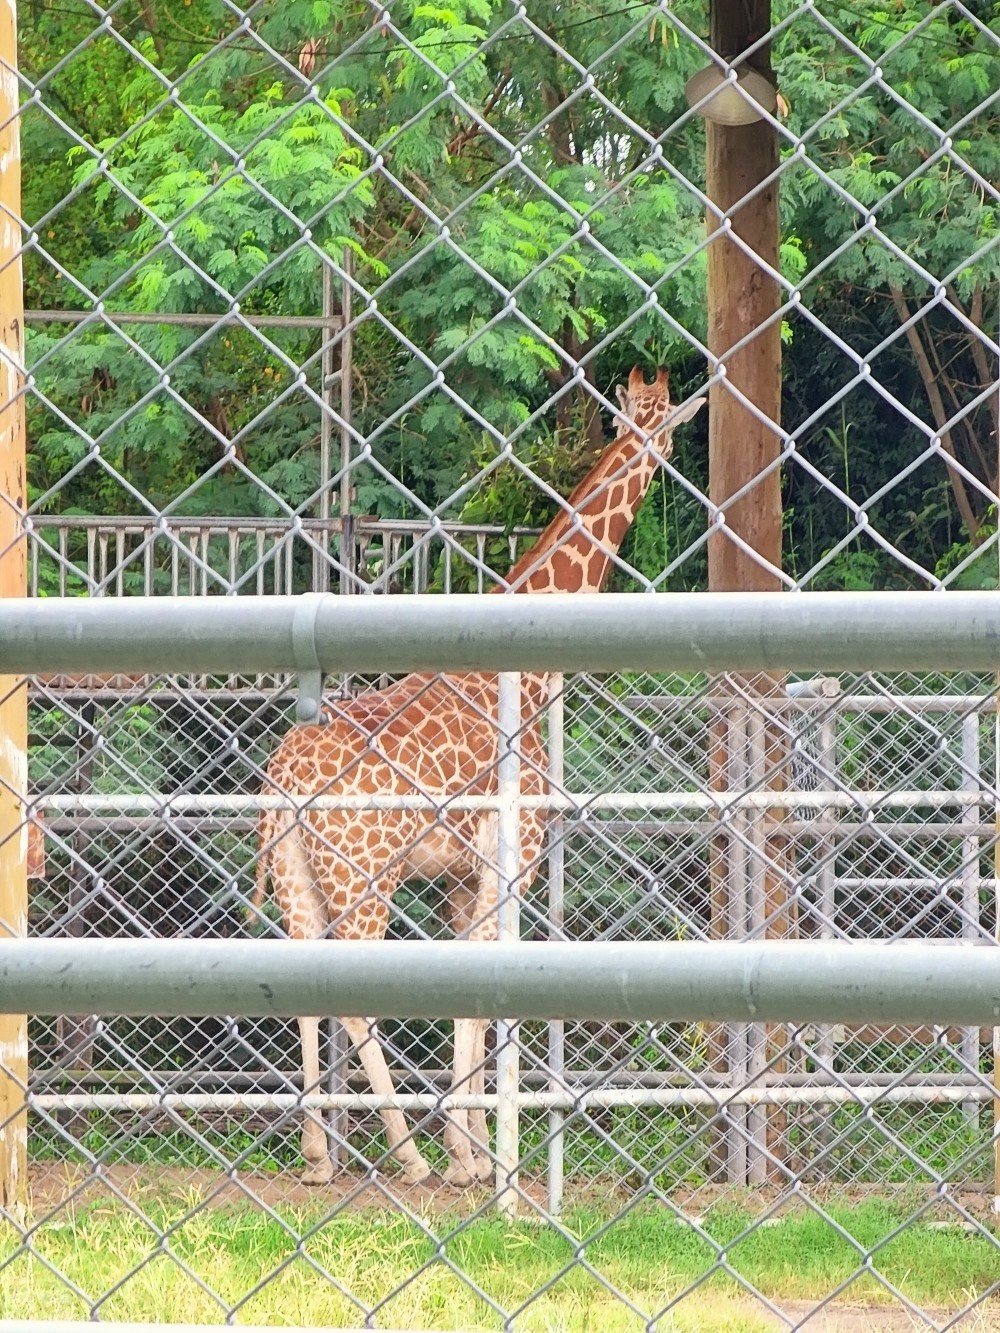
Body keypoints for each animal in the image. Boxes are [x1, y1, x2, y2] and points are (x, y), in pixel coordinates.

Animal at [256, 365, 714, 1189]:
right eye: (667, 421)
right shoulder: (510, 862)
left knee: (306, 983)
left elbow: (464, 994)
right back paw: (405, 1155)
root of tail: (282, 778)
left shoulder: (460, 877)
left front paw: (465, 1146)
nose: (664, 458)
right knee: (352, 997)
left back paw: (316, 1156)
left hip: (297, 875)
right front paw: (473, 1158)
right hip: (364, 877)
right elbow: (483, 997)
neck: (529, 678)